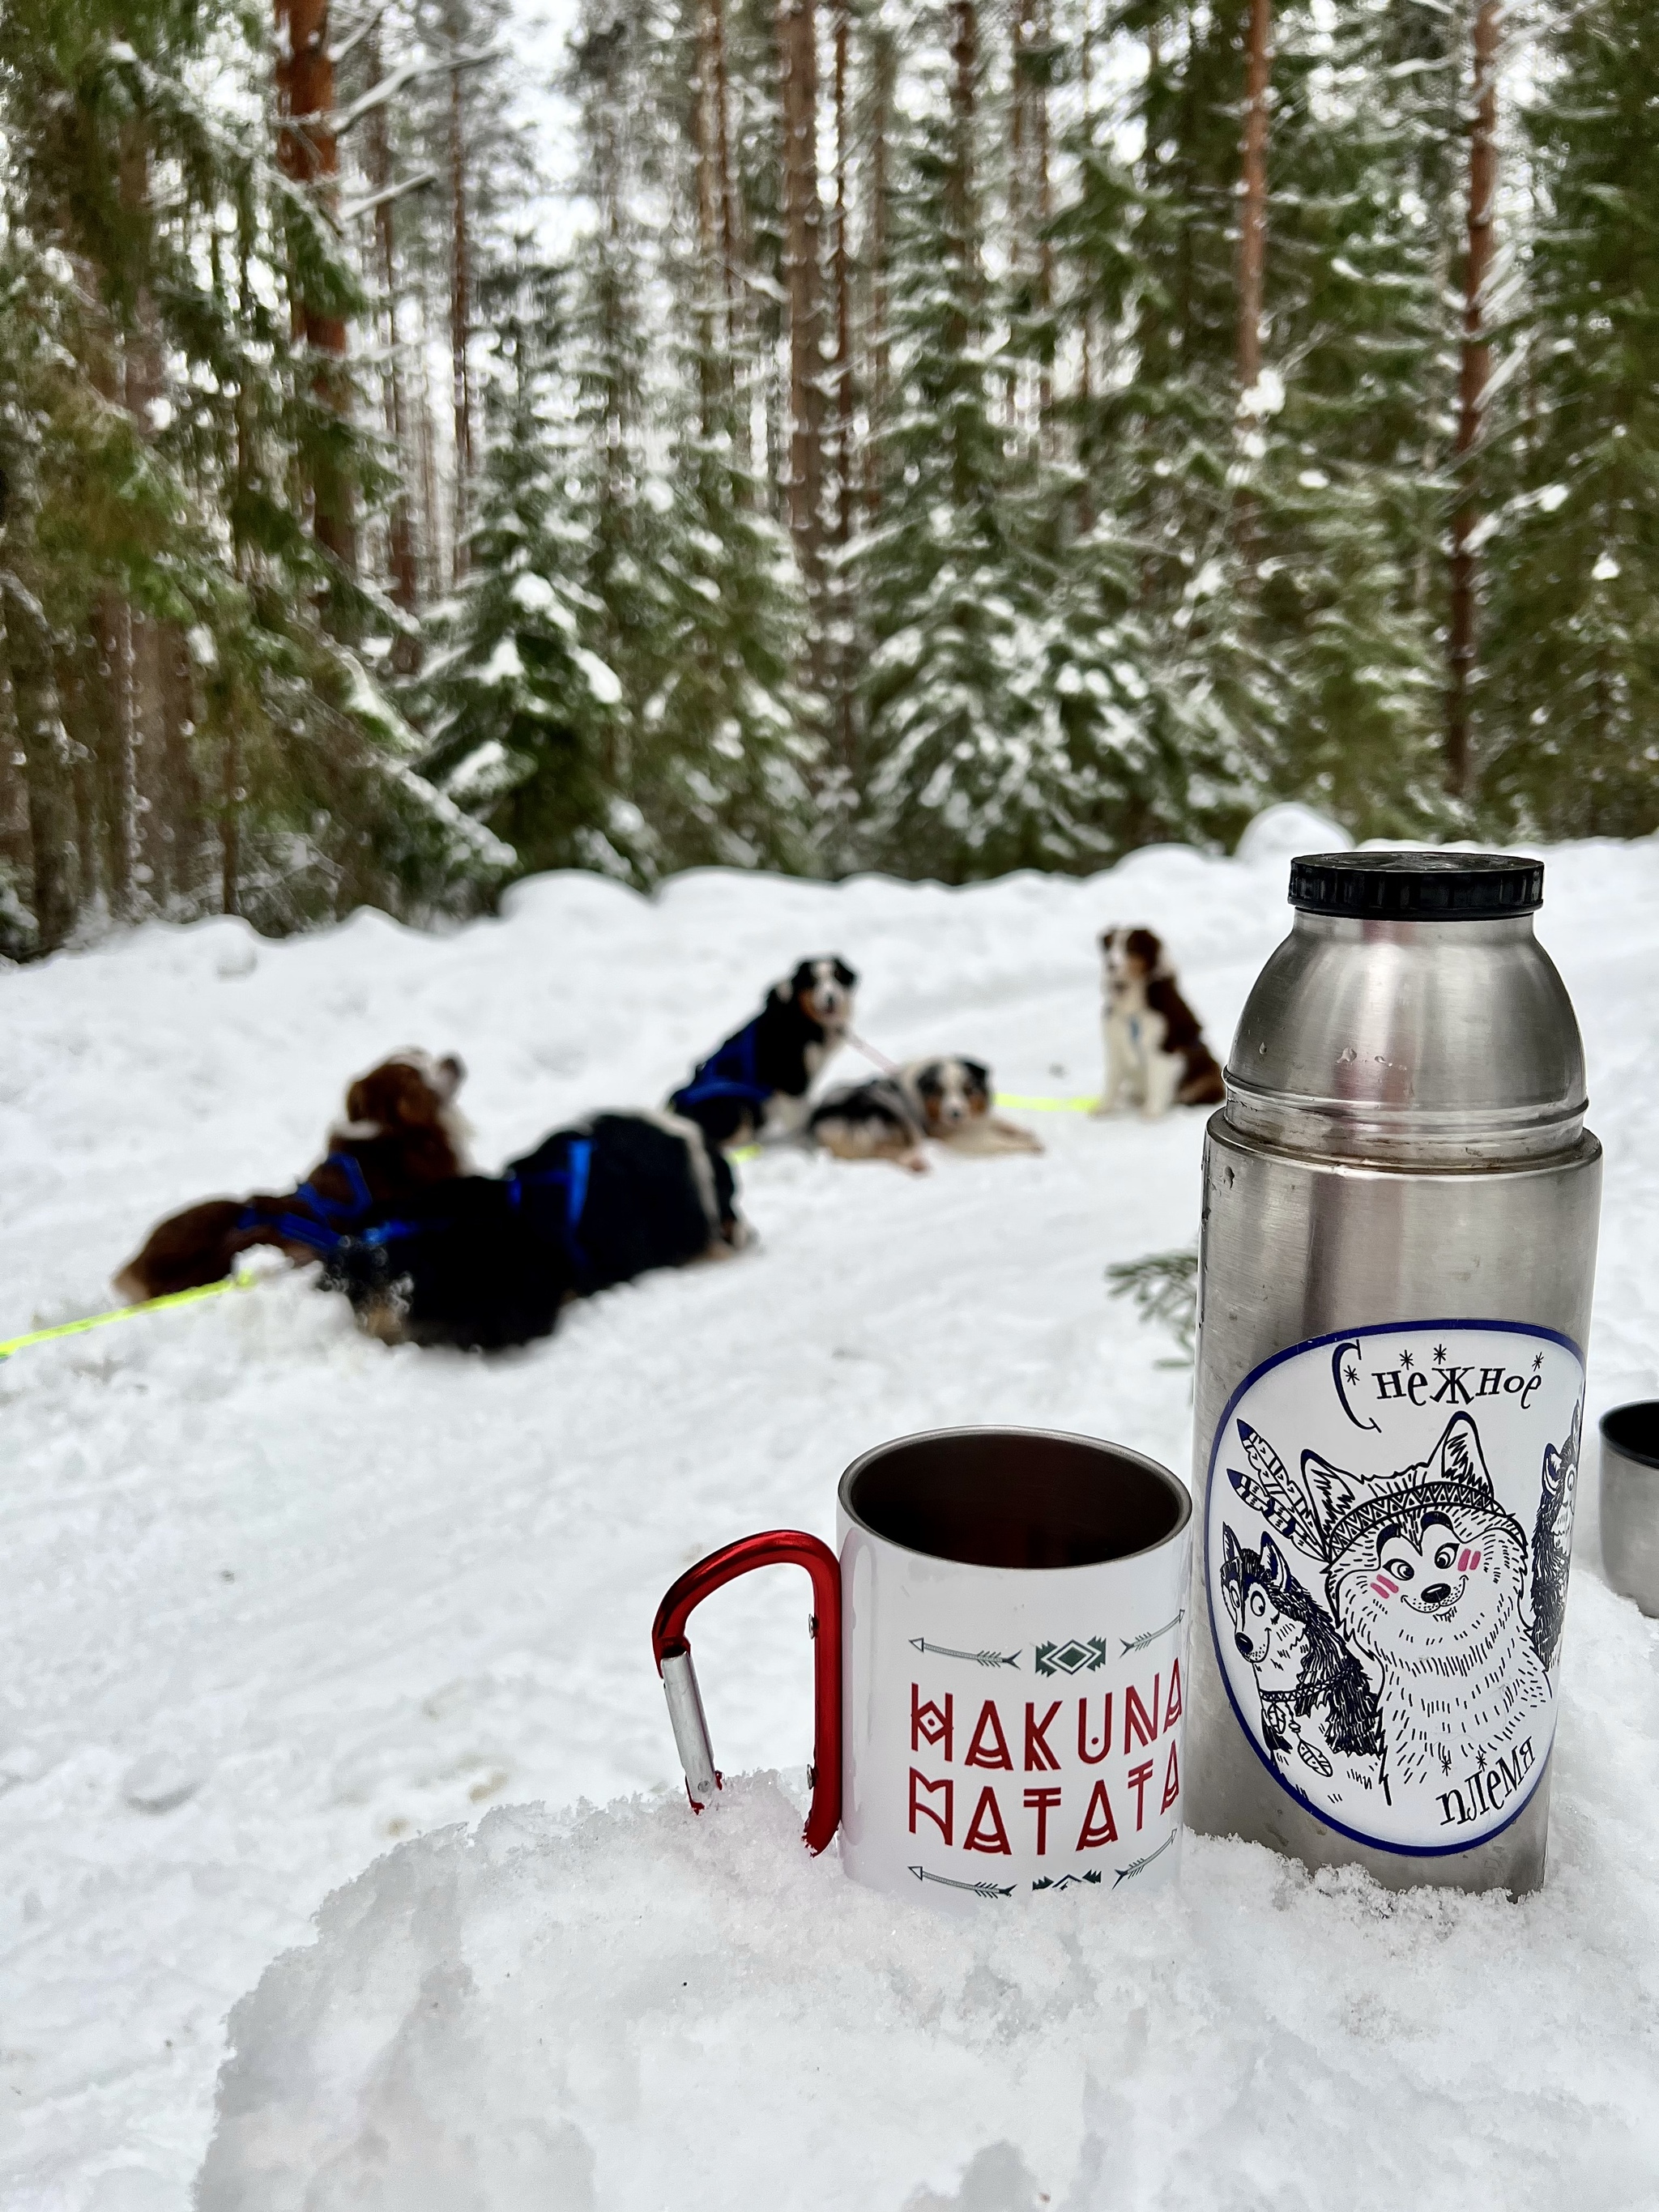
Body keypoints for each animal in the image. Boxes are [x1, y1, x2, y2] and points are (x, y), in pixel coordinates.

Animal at [667, 955, 858, 1150]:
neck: (801, 1016)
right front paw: (808, 1147)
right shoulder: (792, 1081)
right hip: (735, 1108)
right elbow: (800, 1121)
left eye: (837, 976)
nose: (830, 998)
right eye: (813, 982)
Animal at [1097, 924, 1230, 1115]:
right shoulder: (1116, 1043)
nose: (1110, 965)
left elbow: (1156, 1082)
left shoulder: (1163, 1046)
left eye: (1131, 948)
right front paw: (1104, 1109)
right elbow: (1112, 1081)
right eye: (1110, 946)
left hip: (1207, 1078)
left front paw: (1151, 1113)